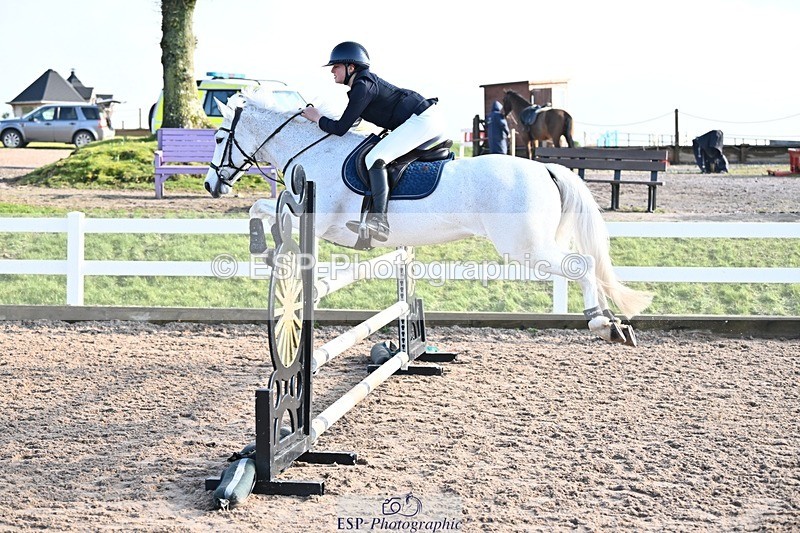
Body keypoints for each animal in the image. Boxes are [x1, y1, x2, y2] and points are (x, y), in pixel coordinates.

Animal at [203, 89, 651, 345]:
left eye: (220, 136)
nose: (211, 185)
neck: (315, 150)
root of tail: (547, 169)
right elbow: (260, 210)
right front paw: (263, 247)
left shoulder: (318, 219)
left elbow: (261, 211)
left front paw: (262, 246)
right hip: (538, 243)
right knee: (586, 266)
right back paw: (610, 322)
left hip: (527, 248)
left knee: (583, 265)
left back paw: (601, 323)